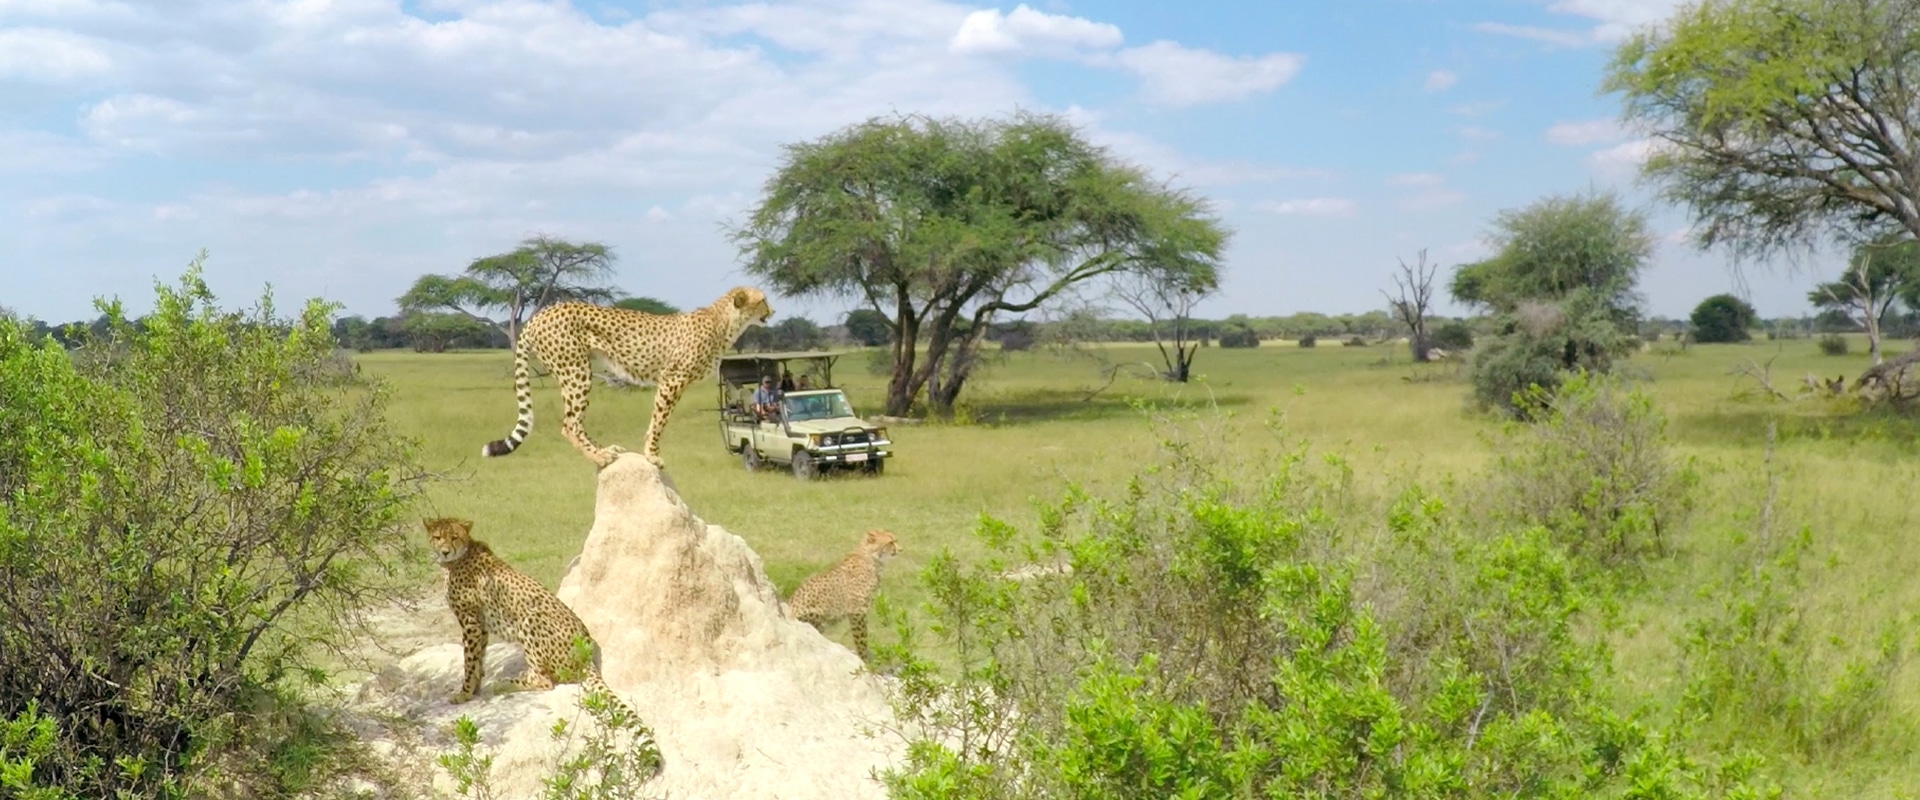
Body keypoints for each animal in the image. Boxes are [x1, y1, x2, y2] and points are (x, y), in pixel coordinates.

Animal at [424, 517, 664, 775]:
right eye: (438, 537)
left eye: (454, 537)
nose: (445, 551)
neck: (460, 556)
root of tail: (587, 649)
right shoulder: (480, 625)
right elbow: (478, 659)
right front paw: (474, 688)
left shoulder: (471, 621)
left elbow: (469, 662)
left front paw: (464, 694)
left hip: (530, 619)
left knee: (546, 681)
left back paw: (505, 683)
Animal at [480, 285, 771, 468]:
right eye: (763, 300)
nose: (772, 311)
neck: (724, 322)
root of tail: (539, 315)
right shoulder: (672, 380)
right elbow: (659, 421)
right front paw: (652, 456)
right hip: (577, 372)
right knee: (570, 424)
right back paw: (599, 457)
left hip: (572, 372)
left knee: (575, 421)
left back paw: (605, 451)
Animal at [779, 525, 898, 656]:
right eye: (890, 542)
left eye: (895, 540)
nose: (900, 550)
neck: (871, 557)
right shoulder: (857, 610)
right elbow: (861, 637)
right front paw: (864, 656)